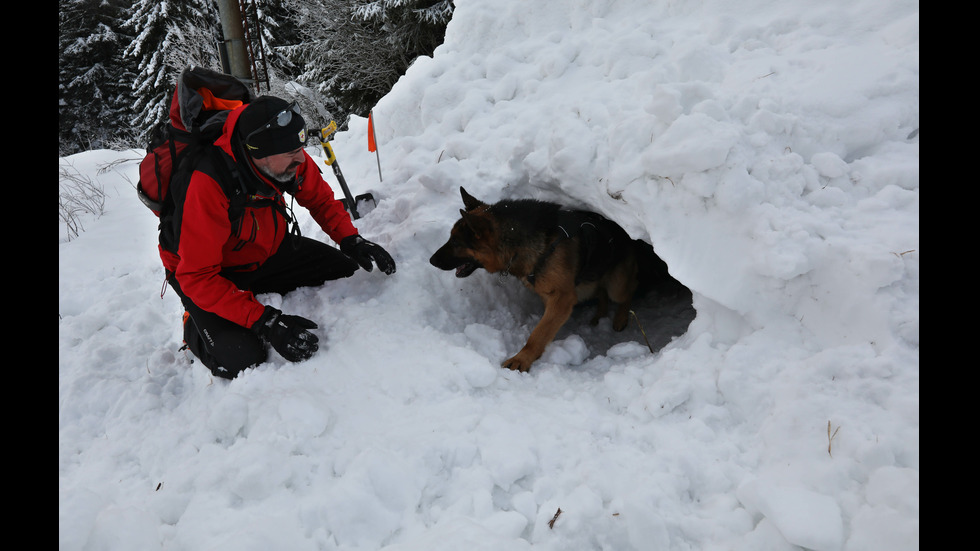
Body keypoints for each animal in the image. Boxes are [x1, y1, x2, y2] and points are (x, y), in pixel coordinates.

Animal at [432, 188, 664, 374]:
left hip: (617, 283)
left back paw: (620, 318)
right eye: (450, 238)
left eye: (455, 242)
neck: (519, 243)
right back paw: (600, 314)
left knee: (626, 291)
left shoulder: (562, 298)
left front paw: (522, 359)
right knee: (601, 292)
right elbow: (545, 326)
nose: (431, 260)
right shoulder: (548, 295)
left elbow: (538, 333)